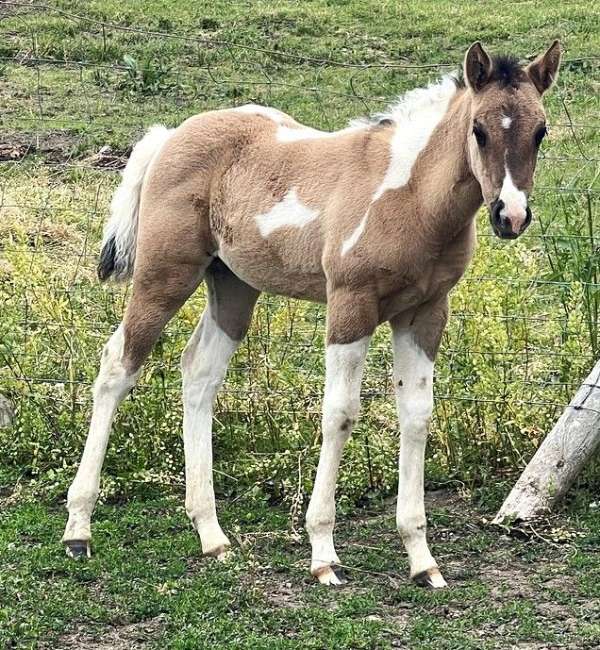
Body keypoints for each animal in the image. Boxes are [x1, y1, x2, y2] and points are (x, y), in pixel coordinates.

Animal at [63, 41, 561, 588]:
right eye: (479, 129)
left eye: (540, 131)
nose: (510, 216)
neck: (411, 199)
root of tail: (172, 134)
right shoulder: (350, 306)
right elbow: (340, 414)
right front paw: (323, 553)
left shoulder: (424, 315)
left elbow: (417, 417)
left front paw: (422, 559)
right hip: (164, 275)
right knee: (118, 366)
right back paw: (79, 529)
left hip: (233, 287)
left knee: (198, 374)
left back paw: (212, 536)